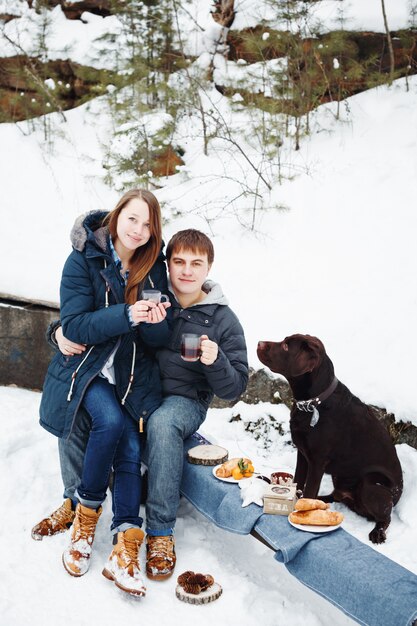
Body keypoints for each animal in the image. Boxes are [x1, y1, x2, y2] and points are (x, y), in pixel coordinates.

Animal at [256, 332, 404, 540]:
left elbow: (309, 488)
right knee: (335, 496)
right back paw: (322, 501)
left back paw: (377, 533)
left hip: (372, 484)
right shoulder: (303, 454)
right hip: (340, 478)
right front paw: (299, 503)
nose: (259, 343)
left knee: (385, 517)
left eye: (285, 346)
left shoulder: (317, 461)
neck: (313, 403)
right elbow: (298, 482)